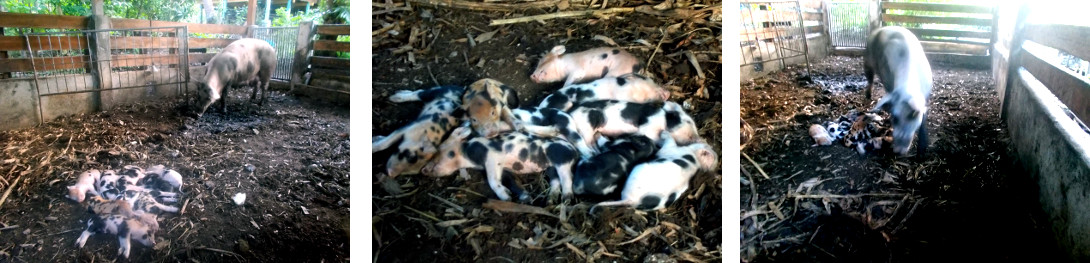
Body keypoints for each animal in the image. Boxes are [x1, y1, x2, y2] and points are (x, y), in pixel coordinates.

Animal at [863, 26, 933, 156]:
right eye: (895, 118)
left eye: (913, 115)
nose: (898, 150)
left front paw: (921, 151)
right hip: (867, 61)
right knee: (870, 80)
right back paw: (868, 96)